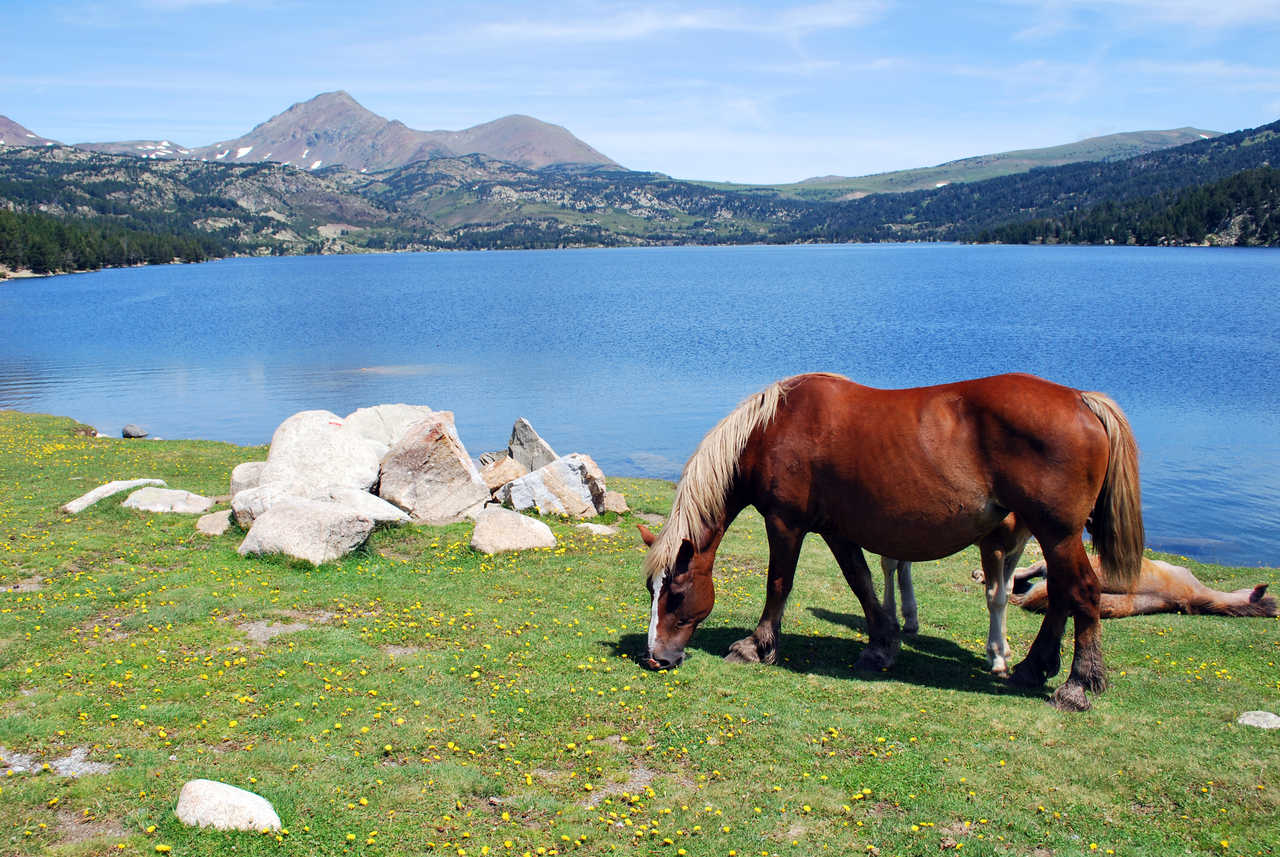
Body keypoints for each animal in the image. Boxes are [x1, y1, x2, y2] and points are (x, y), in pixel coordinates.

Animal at [634, 373, 1146, 716]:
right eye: (651, 592)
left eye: (675, 594)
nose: (655, 657)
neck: (774, 427)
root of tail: (1081, 399)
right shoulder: (836, 529)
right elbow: (861, 582)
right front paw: (882, 646)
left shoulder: (785, 524)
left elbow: (778, 584)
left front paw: (756, 646)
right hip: (1053, 534)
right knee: (1061, 595)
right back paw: (1031, 667)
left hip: (1058, 533)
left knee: (1082, 592)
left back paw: (1077, 684)